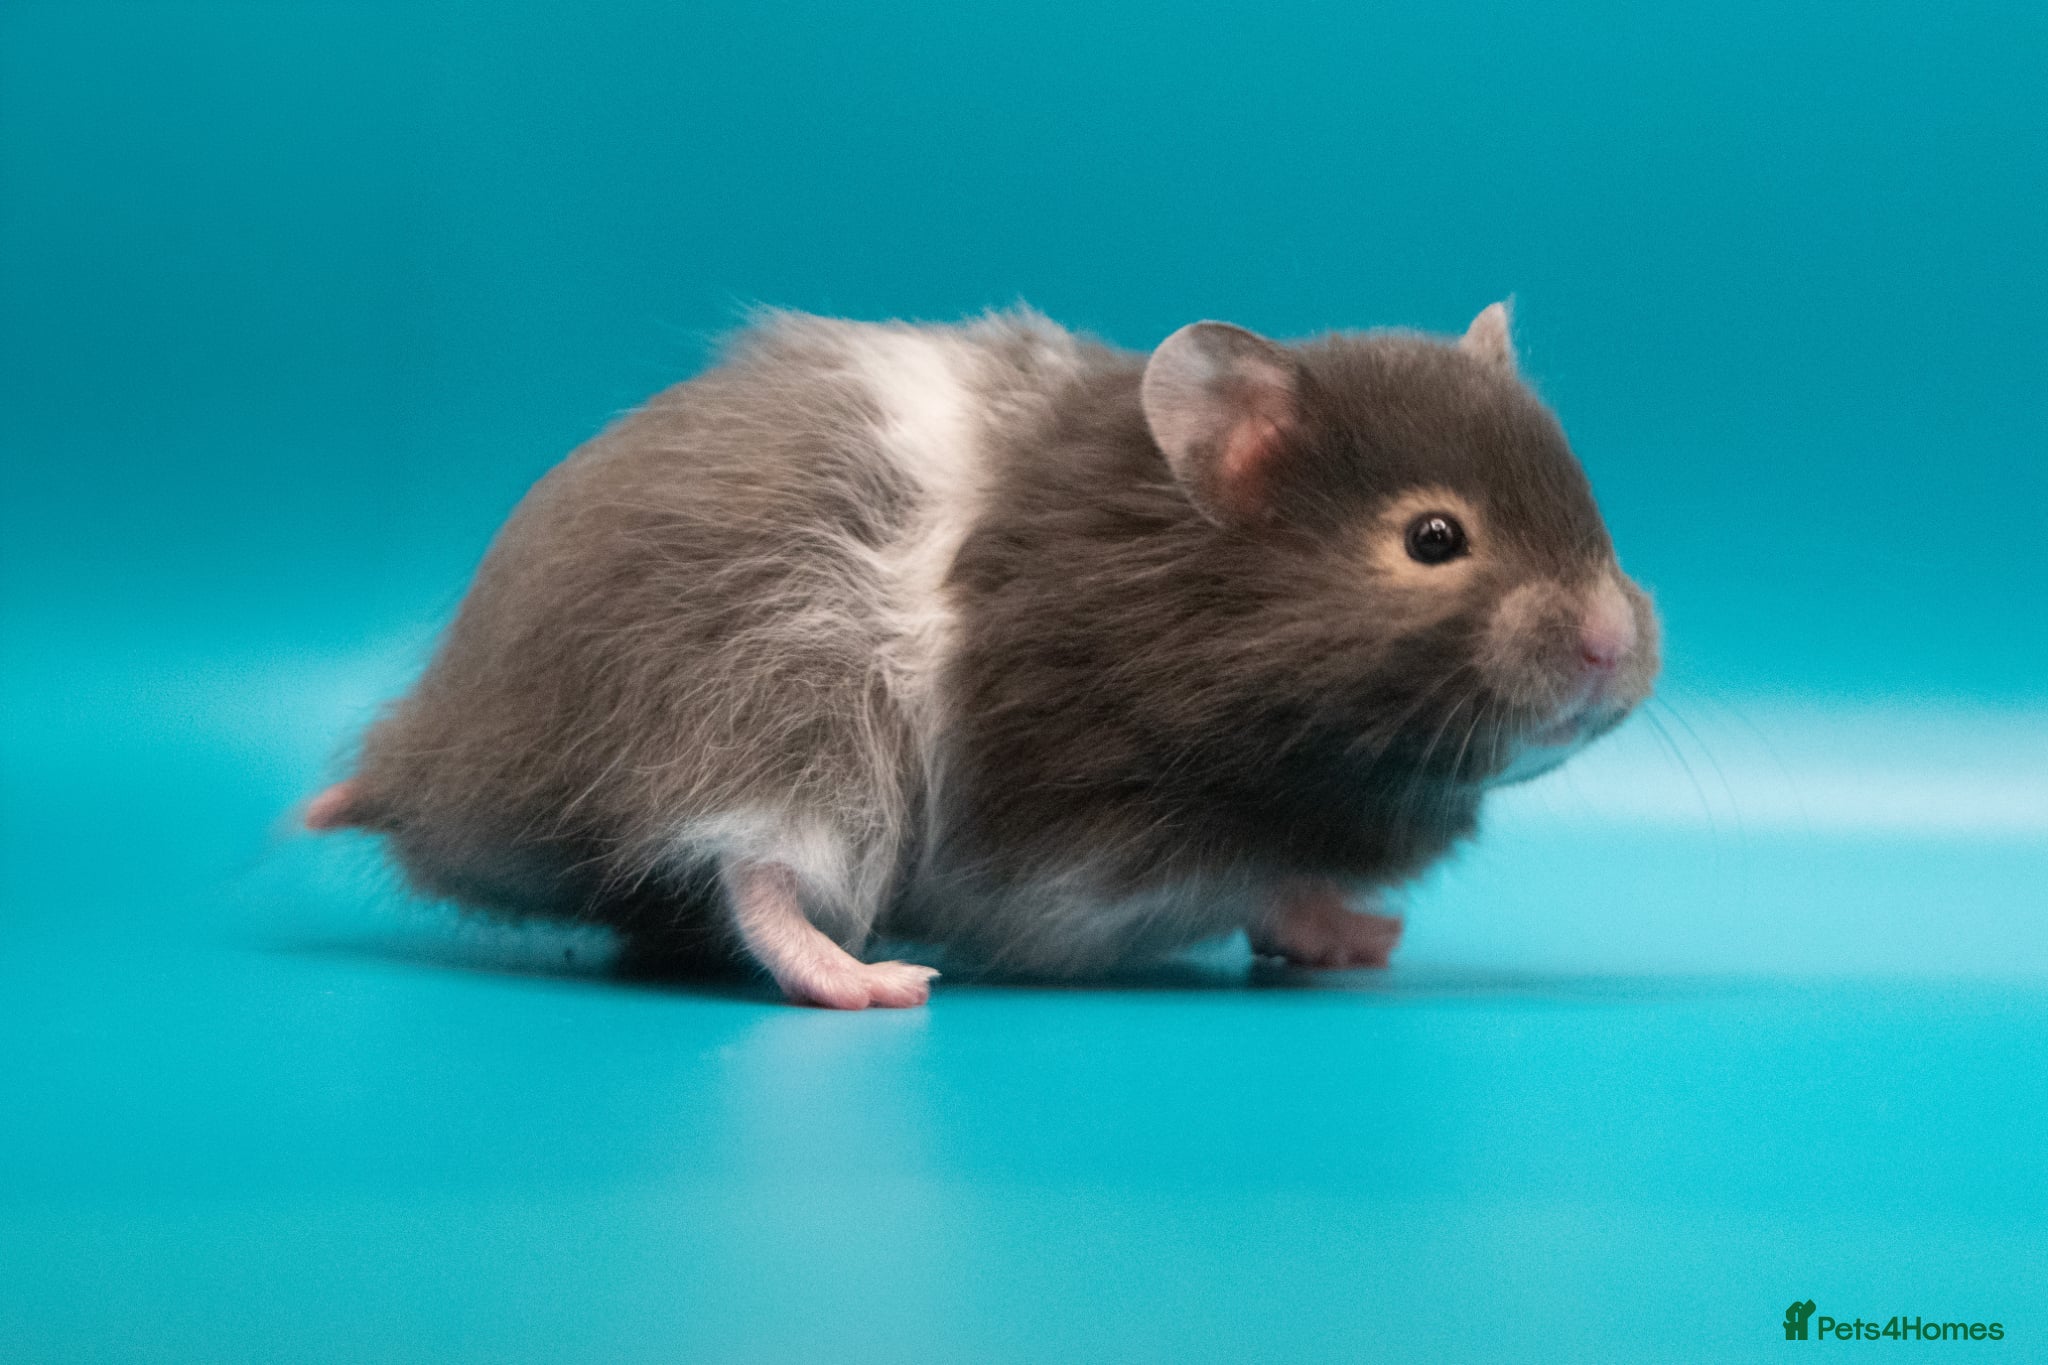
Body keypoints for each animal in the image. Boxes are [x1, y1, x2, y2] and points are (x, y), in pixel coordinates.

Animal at [305, 303, 1659, 1008]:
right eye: (1434, 539)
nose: (1615, 645)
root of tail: (430, 755)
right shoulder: (1082, 863)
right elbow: (1249, 887)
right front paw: (1344, 927)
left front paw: (1361, 937)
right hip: (785, 715)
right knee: (756, 879)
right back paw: (875, 985)